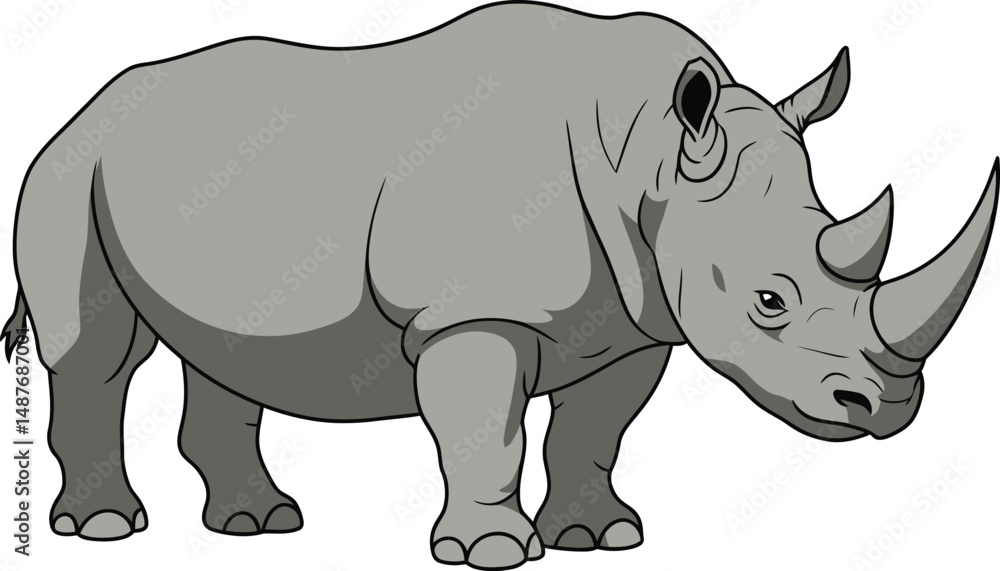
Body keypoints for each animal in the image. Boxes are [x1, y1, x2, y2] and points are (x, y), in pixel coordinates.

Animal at [3, 2, 996, 569]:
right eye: (771, 301)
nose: (886, 407)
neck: (648, 154)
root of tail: (83, 105)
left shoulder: (637, 316)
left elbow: (594, 431)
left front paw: (599, 539)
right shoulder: (470, 313)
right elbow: (489, 430)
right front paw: (490, 553)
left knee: (225, 351)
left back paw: (259, 525)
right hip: (65, 168)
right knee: (95, 352)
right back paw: (105, 529)